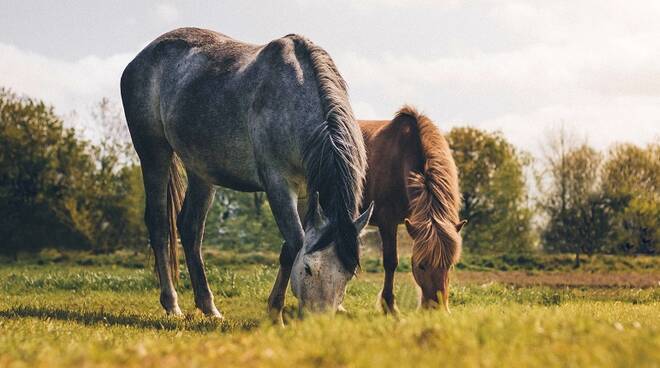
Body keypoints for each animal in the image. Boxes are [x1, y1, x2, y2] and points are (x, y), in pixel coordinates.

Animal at [121, 28, 374, 322]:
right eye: (309, 269)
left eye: (348, 275)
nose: (318, 323)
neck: (295, 97)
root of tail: (140, 59)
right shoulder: (278, 185)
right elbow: (294, 244)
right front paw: (275, 312)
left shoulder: (306, 192)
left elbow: (290, 247)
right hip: (154, 154)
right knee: (160, 225)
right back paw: (172, 304)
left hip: (201, 171)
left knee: (190, 228)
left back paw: (209, 307)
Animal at [358, 105, 466, 314]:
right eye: (421, 266)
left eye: (449, 265)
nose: (436, 309)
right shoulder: (387, 221)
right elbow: (391, 262)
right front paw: (389, 306)